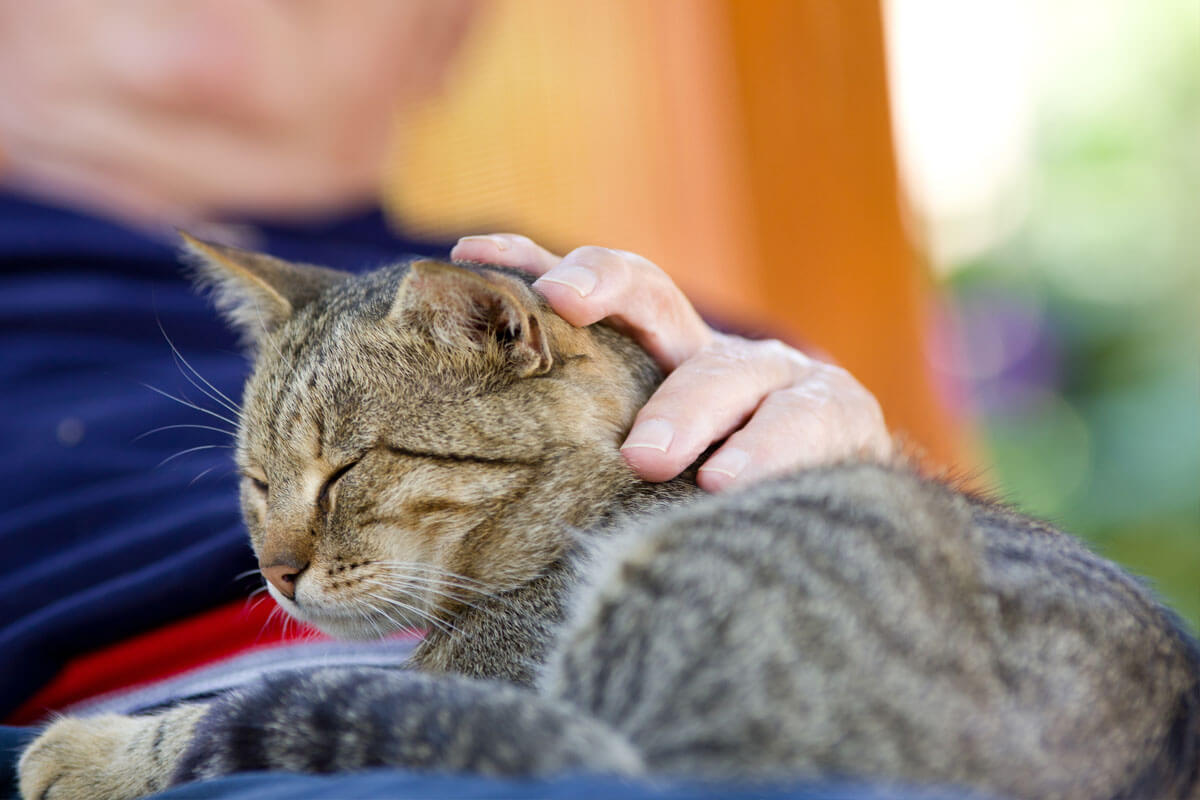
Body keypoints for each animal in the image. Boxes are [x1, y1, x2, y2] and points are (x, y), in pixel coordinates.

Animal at [18, 237, 1200, 800]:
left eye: (347, 466)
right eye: (256, 481)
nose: (273, 569)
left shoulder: (490, 686)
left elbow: (226, 710)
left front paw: (86, 749)